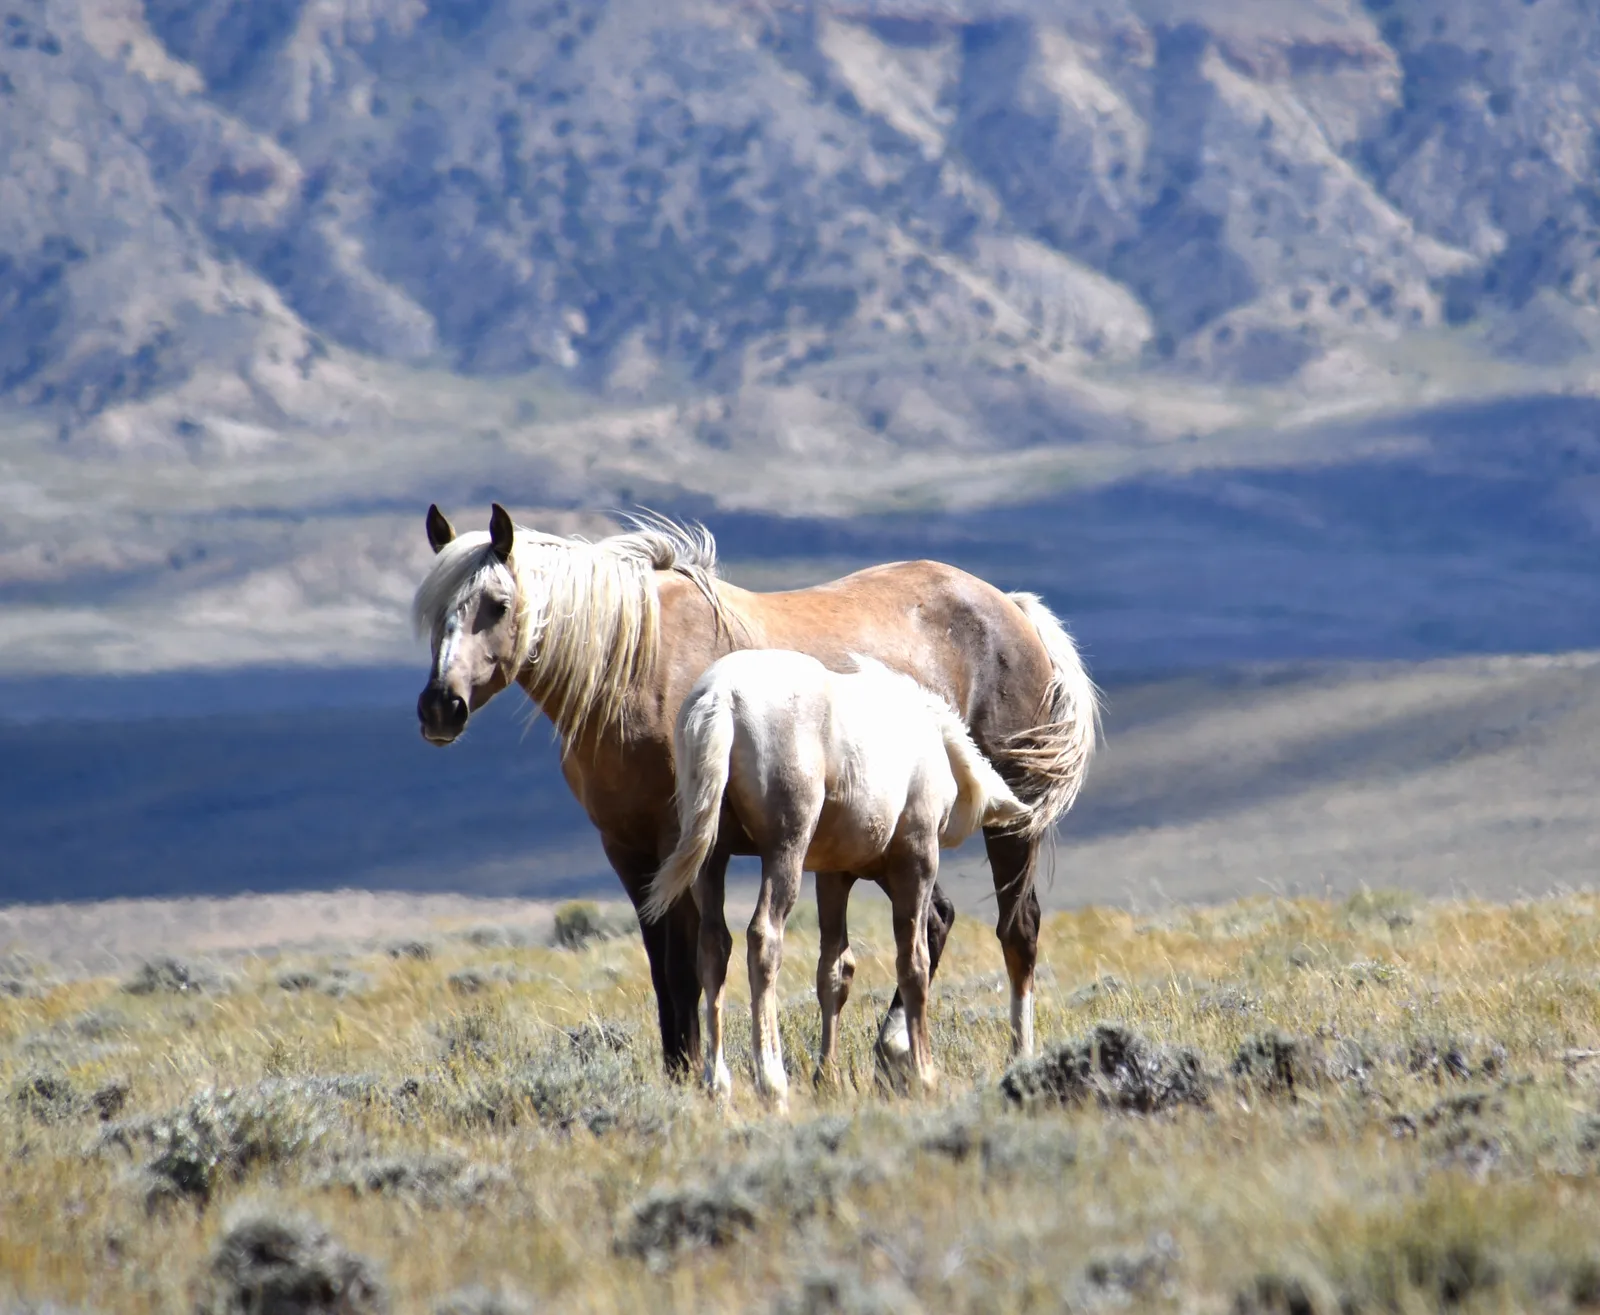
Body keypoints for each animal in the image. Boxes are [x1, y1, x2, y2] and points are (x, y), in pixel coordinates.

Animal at [642, 650, 1032, 1107]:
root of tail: (722, 696)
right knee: (763, 937)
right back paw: (771, 1080)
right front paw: (924, 1074)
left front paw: (827, 1078)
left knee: (714, 946)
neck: (934, 740)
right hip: (785, 849)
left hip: (711, 859)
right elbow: (913, 963)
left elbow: (834, 971)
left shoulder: (833, 876)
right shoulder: (915, 860)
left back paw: (718, 1083)